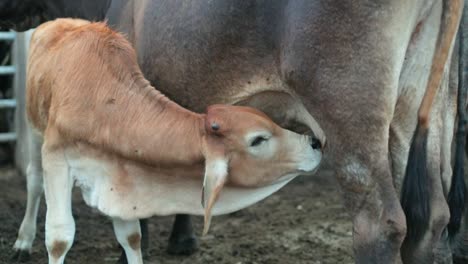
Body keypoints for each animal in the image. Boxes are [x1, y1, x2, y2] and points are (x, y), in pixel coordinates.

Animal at [12, 19, 324, 264]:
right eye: (258, 139)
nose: (314, 143)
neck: (104, 104)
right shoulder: (56, 159)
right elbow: (59, 238)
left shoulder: (118, 174)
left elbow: (132, 237)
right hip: (34, 130)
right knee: (34, 181)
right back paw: (22, 242)